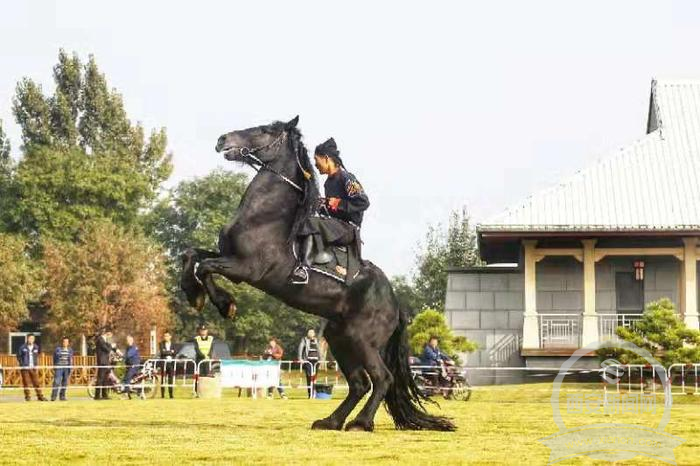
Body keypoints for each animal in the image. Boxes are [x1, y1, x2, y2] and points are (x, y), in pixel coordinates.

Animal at [180, 116, 454, 434]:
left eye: (265, 130)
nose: (223, 139)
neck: (264, 218)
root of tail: (397, 307)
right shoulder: (226, 255)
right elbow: (191, 255)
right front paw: (194, 294)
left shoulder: (245, 269)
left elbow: (205, 267)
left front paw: (224, 304)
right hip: (339, 338)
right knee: (359, 384)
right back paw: (330, 421)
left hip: (362, 340)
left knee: (381, 378)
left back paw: (360, 423)